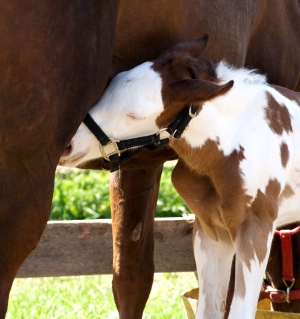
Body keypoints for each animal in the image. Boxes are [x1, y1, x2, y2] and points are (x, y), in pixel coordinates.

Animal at [1, 0, 300, 319]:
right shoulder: (213, 232)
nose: (69, 145)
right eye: (108, 86)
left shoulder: (250, 230)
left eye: (136, 115)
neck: (241, 136)